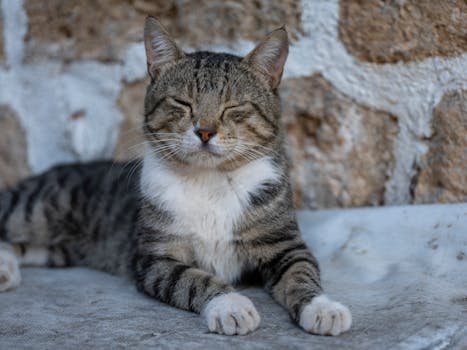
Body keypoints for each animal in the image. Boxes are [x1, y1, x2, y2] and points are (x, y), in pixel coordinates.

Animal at [0, 16, 352, 336]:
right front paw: (230, 305)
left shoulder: (285, 244)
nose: (205, 131)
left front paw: (322, 308)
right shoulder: (155, 259)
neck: (211, 180)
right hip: (35, 210)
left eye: (232, 107)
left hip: (59, 247)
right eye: (183, 103)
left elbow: (301, 273)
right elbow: (194, 280)